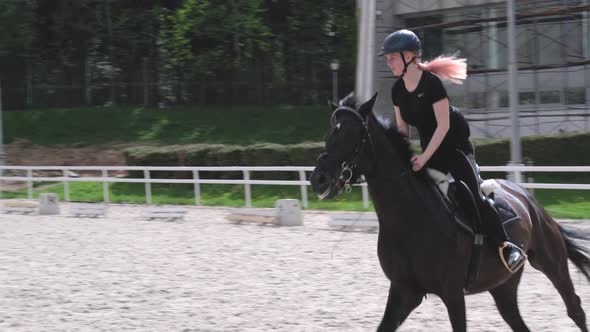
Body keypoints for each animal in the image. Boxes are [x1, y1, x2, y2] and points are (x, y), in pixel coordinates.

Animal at [310, 92, 590, 330]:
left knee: (575, 309)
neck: (408, 220)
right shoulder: (404, 291)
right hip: (503, 286)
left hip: (551, 262)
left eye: (352, 134)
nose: (318, 180)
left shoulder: (453, 294)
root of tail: (527, 198)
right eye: (328, 135)